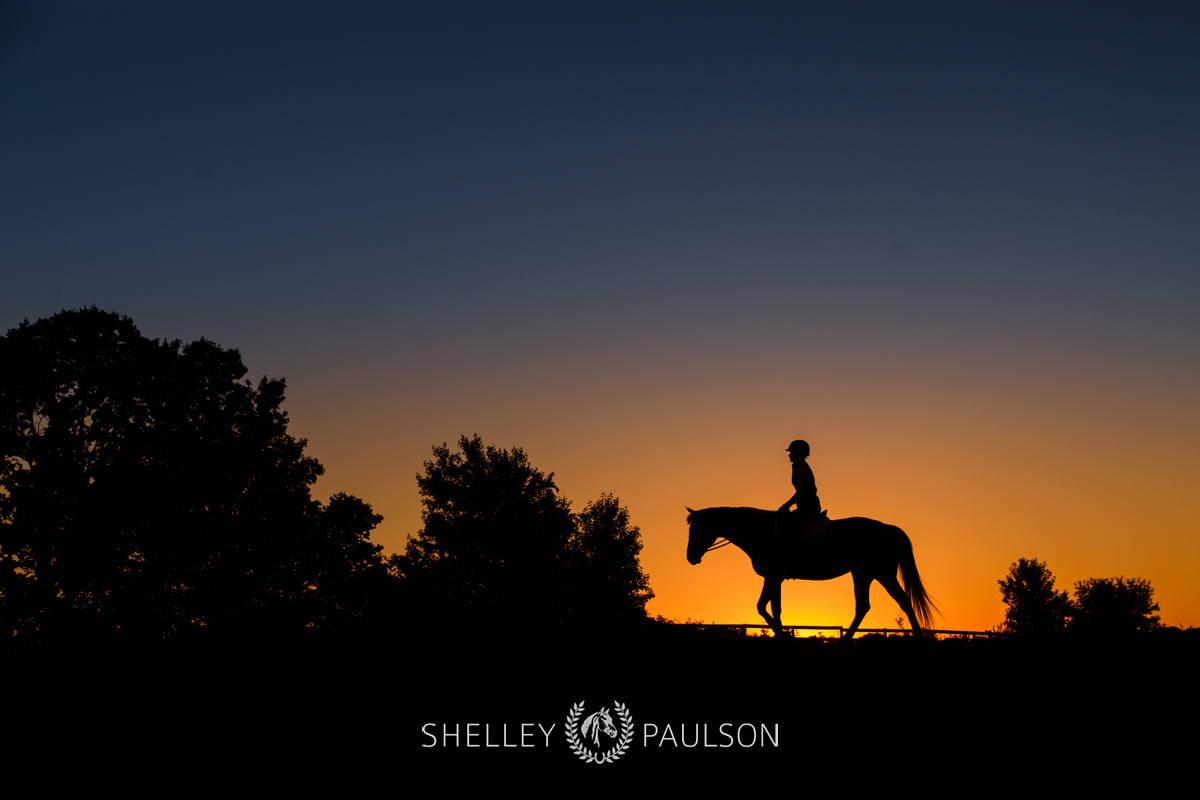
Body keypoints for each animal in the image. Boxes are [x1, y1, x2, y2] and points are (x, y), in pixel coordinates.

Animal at [686, 513, 936, 638]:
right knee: (904, 600)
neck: (759, 532)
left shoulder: (773, 576)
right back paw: (918, 638)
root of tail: (887, 528)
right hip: (883, 574)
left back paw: (845, 639)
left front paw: (782, 635)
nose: (691, 557)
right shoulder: (774, 578)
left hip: (863, 573)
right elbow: (772, 608)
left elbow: (765, 608)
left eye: (694, 528)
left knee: (863, 606)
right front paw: (782, 635)